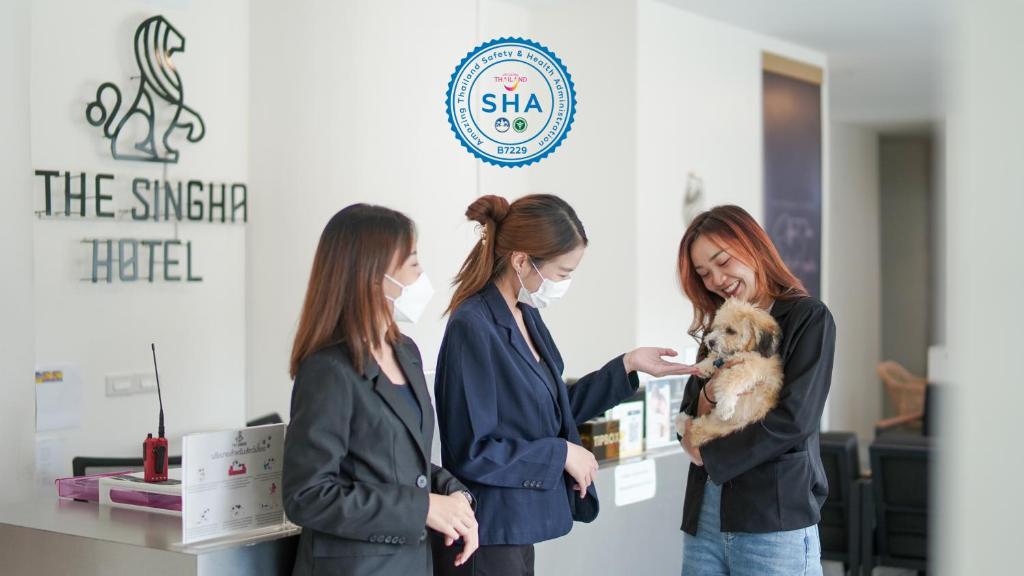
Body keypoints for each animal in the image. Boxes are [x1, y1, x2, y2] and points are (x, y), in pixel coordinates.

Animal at [675, 297, 778, 446]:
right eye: (717, 327)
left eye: (730, 331)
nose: (710, 342)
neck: (746, 350)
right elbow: (714, 358)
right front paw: (702, 367)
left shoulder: (746, 368)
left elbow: (728, 382)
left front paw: (725, 407)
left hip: (714, 427)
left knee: (696, 429)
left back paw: (682, 422)